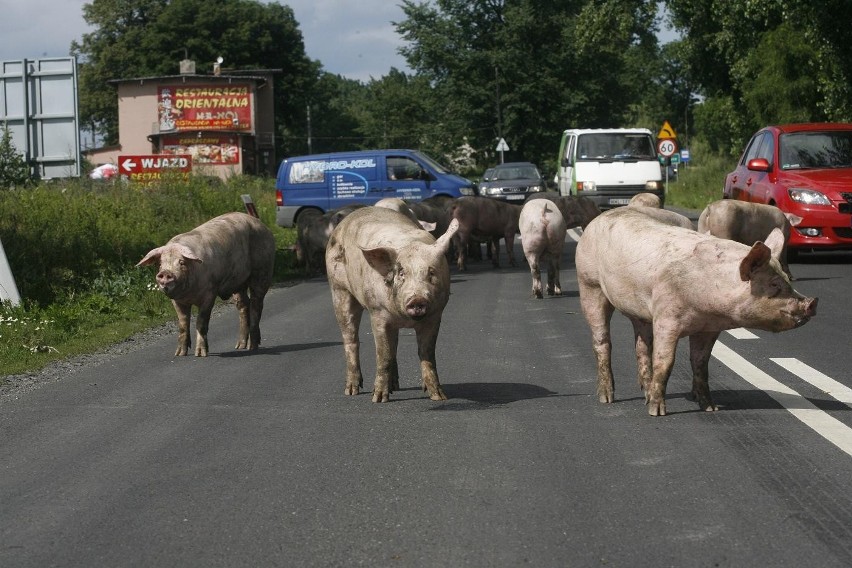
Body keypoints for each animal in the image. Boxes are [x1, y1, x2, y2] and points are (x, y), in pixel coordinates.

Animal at [136, 211, 276, 358]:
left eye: (181, 262)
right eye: (160, 264)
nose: (165, 273)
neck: (189, 293)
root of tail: (261, 224)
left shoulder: (210, 293)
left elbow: (201, 322)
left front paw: (201, 354)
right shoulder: (177, 301)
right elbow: (182, 325)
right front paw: (179, 354)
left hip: (262, 271)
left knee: (257, 304)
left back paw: (253, 347)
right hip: (238, 283)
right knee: (243, 305)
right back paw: (239, 346)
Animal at [324, 206, 460, 402]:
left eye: (431, 272)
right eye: (401, 273)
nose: (417, 299)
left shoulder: (435, 316)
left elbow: (427, 354)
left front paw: (438, 397)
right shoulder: (377, 314)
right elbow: (384, 355)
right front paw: (378, 399)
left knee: (394, 344)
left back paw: (394, 387)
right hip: (339, 289)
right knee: (351, 340)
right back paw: (352, 391)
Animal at [576, 206, 816, 414]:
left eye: (787, 280)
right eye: (774, 285)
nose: (812, 302)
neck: (709, 308)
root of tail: (598, 218)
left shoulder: (708, 328)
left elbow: (701, 363)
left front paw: (710, 408)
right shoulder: (666, 316)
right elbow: (664, 361)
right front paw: (657, 412)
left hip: (639, 311)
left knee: (642, 346)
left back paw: (645, 395)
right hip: (589, 284)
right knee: (602, 342)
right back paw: (607, 398)